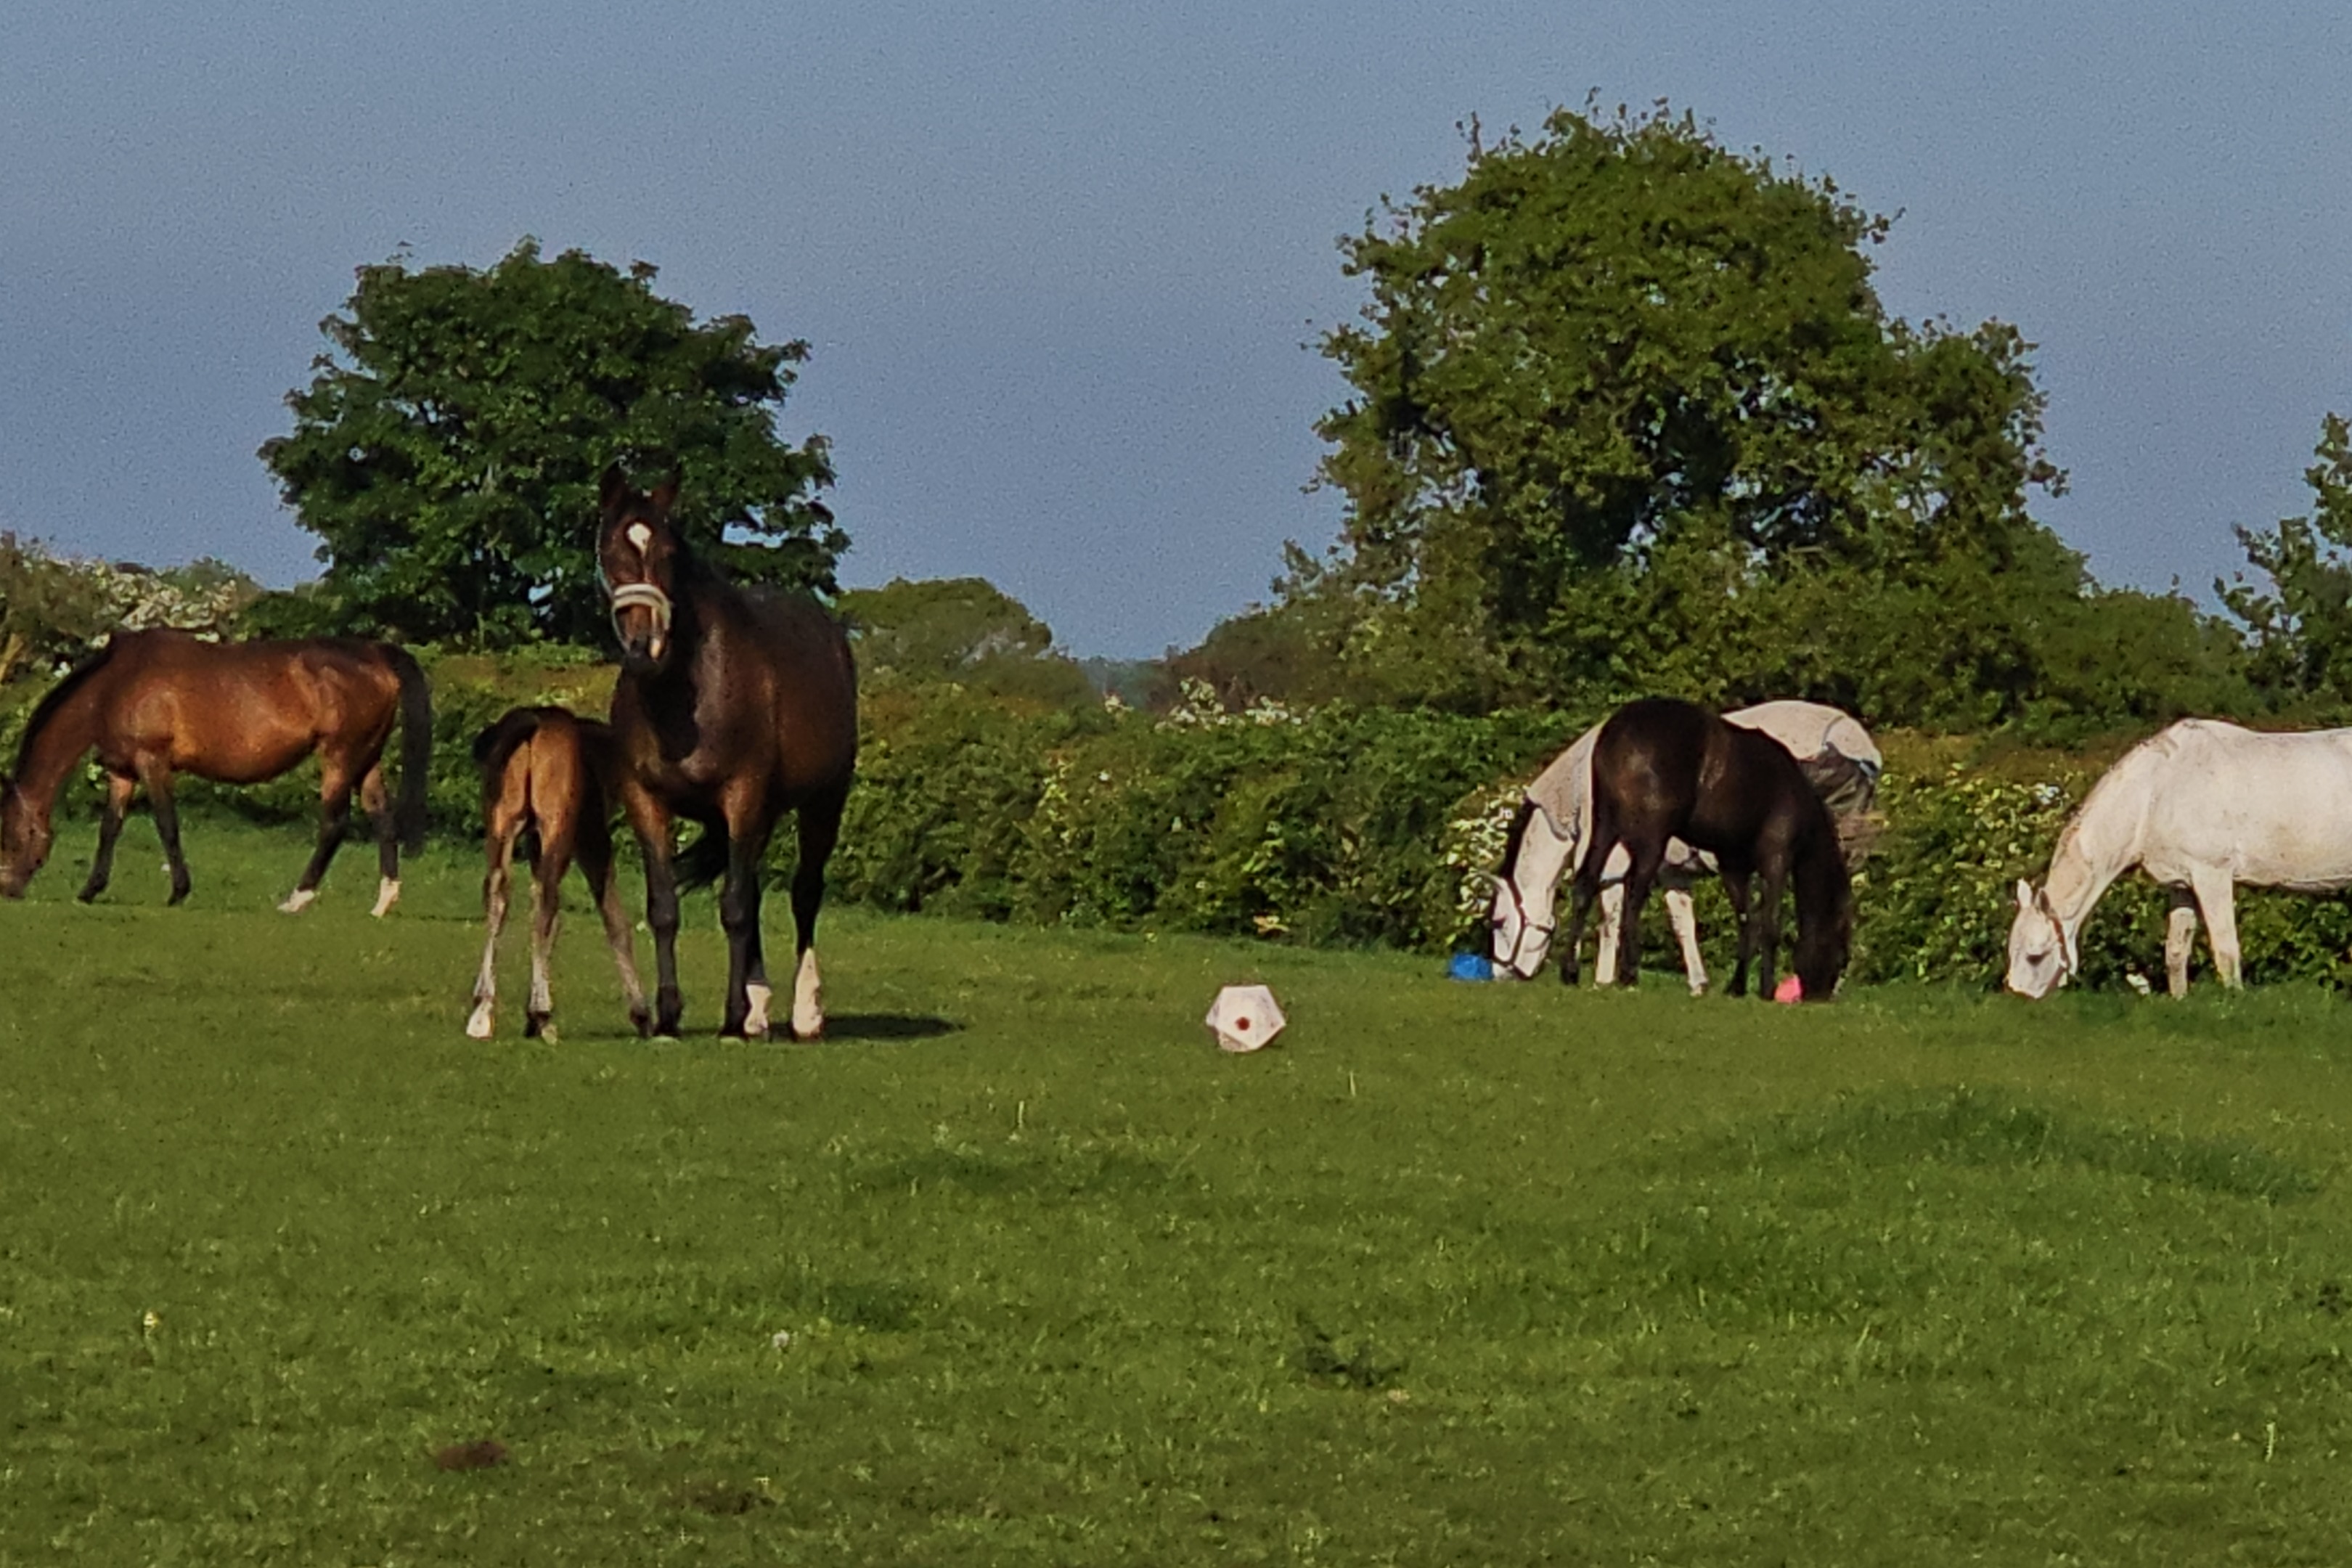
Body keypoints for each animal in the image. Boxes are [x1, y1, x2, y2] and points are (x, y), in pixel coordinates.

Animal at [0, 628, 430, 912]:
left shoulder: (153, 763)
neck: (113, 685)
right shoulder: (122, 773)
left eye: (11, 837)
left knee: (334, 824)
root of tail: (374, 653)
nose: (7, 889)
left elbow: (166, 825)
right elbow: (110, 829)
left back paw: (296, 898)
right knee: (382, 817)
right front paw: (91, 890)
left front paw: (178, 891)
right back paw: (384, 901)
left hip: (339, 757)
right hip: (366, 759)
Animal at [465, 706, 650, 1041]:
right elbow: (615, 920)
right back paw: (540, 1011)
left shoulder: (535, 842)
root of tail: (532, 725)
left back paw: (483, 1008)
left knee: (498, 894)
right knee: (547, 903)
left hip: (501, 823)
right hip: (557, 825)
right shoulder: (591, 838)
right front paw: (641, 1014)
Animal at [595, 469, 858, 1039]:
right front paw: (669, 1016)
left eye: (669, 551)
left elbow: (735, 907)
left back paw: (804, 1011)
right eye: (609, 550)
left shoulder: (743, 796)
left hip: (823, 803)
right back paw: (759, 1007)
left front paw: (733, 1020)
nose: (645, 647)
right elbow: (666, 906)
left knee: (805, 892)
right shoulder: (646, 801)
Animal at [1490, 699, 1879, 990]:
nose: (1500, 975)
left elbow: (1612, 916)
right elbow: (1683, 922)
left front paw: (1604, 977)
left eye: (1498, 922)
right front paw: (1700, 982)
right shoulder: (1675, 871)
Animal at [2007, 718, 2352, 998]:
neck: (2157, 790)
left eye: (2035, 956)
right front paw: (2180, 999)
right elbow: (2175, 950)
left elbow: (2225, 948)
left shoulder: (2212, 875)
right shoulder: (2181, 883)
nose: (2021, 998)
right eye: (2012, 950)